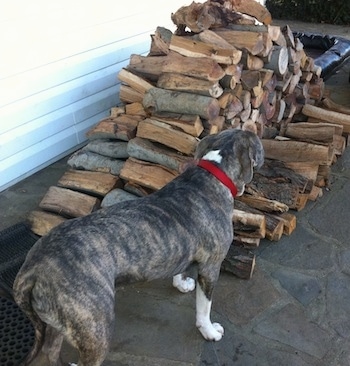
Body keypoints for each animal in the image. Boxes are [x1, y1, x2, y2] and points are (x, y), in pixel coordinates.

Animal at [14, 129, 266, 366]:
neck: (214, 172)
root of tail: (32, 268)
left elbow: (180, 268)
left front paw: (181, 284)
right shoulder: (211, 267)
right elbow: (204, 307)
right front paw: (210, 331)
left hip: (55, 325)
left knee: (50, 352)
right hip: (95, 329)